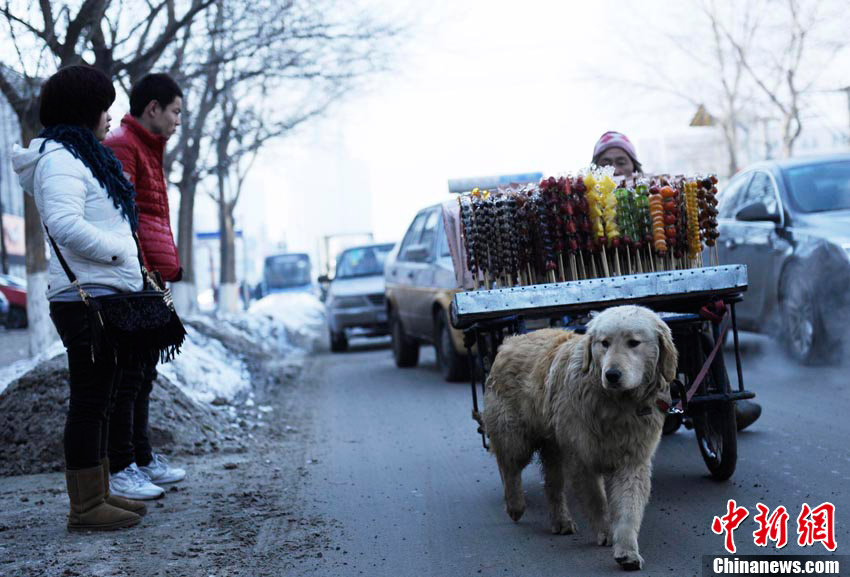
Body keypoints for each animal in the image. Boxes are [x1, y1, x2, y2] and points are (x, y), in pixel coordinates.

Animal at [484, 304, 676, 568]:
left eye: (633, 343)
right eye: (604, 343)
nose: (612, 375)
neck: (618, 406)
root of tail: (510, 341)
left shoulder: (632, 461)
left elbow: (628, 509)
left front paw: (627, 550)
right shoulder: (582, 459)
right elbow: (597, 501)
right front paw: (606, 532)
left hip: (554, 448)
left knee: (552, 485)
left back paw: (561, 520)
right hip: (516, 437)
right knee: (509, 467)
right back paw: (515, 505)